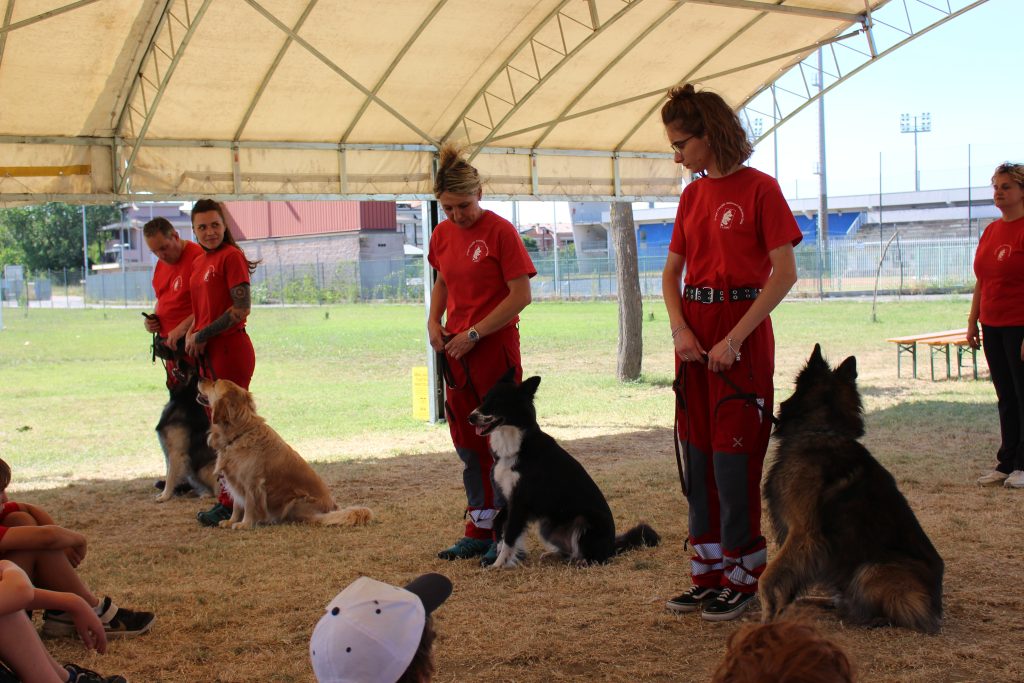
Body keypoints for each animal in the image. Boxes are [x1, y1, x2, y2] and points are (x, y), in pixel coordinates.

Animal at [195, 378, 372, 528]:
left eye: (214, 383)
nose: (200, 378)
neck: (239, 433)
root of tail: (333, 508)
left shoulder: (252, 483)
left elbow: (249, 505)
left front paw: (245, 524)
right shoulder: (234, 481)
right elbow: (237, 506)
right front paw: (231, 521)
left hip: (296, 501)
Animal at [468, 370, 659, 569]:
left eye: (498, 401)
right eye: (484, 398)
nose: (470, 417)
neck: (518, 446)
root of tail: (611, 545)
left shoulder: (520, 502)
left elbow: (511, 536)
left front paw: (498, 565)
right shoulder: (509, 497)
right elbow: (498, 523)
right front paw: (497, 552)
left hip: (584, 521)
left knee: (597, 557)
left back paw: (583, 561)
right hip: (547, 526)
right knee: (570, 552)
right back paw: (554, 555)